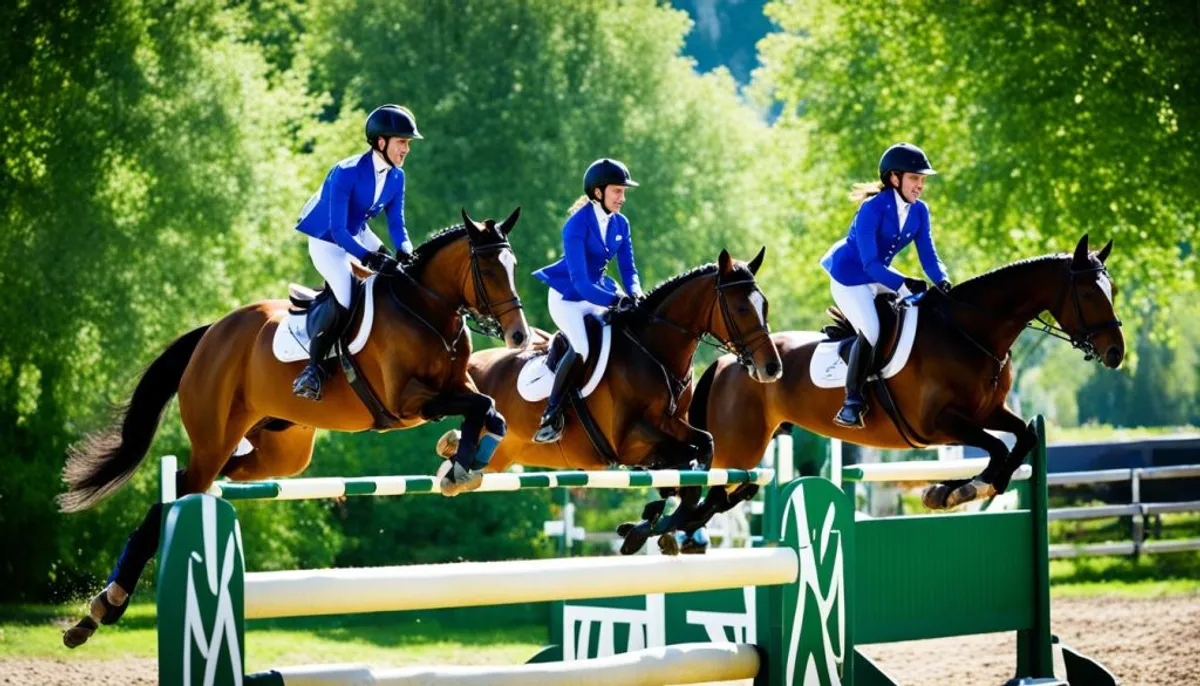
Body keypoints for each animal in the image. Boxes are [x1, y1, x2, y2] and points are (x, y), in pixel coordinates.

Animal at [59, 206, 530, 647]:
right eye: (489, 269)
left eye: (513, 266)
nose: (520, 337)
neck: (425, 309)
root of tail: (212, 331)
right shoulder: (408, 402)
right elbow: (483, 405)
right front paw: (460, 465)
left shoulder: (455, 387)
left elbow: (491, 412)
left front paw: (460, 462)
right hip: (214, 439)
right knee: (180, 489)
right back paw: (103, 607)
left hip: (274, 454)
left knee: (185, 484)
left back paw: (101, 608)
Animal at [436, 247, 782, 551]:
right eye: (741, 309)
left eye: (765, 305)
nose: (772, 367)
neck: (653, 352)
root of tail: (471, 363)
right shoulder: (629, 442)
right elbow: (688, 468)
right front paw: (649, 526)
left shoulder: (674, 426)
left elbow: (704, 448)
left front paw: (651, 521)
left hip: (501, 456)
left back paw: (450, 445)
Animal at [648, 235, 1123, 551]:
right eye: (1087, 292)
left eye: (1112, 290)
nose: (1116, 353)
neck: (970, 332)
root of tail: (732, 362)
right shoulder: (939, 423)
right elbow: (996, 449)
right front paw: (958, 490)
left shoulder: (988, 411)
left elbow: (1019, 438)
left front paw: (958, 490)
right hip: (738, 446)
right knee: (708, 485)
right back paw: (676, 532)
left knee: (720, 491)